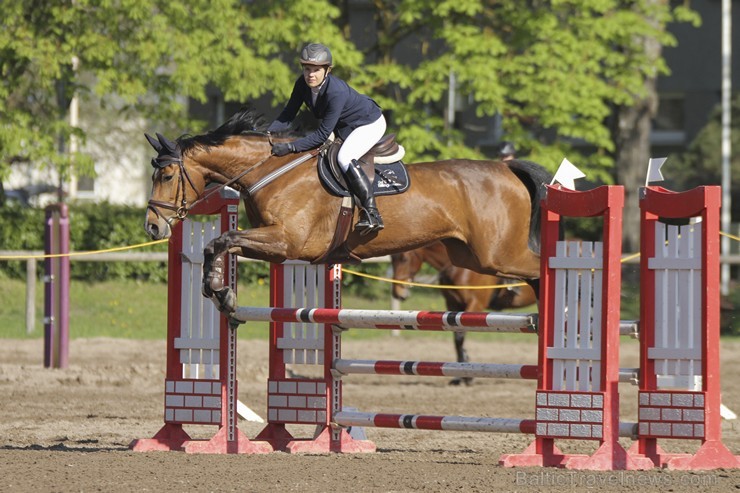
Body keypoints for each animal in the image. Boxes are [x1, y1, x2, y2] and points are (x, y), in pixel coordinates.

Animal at [143, 109, 548, 314]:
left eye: (166, 175)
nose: (152, 228)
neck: (271, 171)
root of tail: (507, 170)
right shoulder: (275, 246)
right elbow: (219, 244)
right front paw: (218, 291)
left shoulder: (287, 242)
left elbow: (223, 239)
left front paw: (220, 291)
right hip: (471, 257)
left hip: (498, 253)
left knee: (537, 269)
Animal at [390, 241, 536, 384]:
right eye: (392, 260)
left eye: (404, 259)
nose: (398, 294)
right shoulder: (453, 305)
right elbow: (456, 338)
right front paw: (459, 376)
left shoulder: (475, 304)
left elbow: (460, 336)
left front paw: (466, 377)